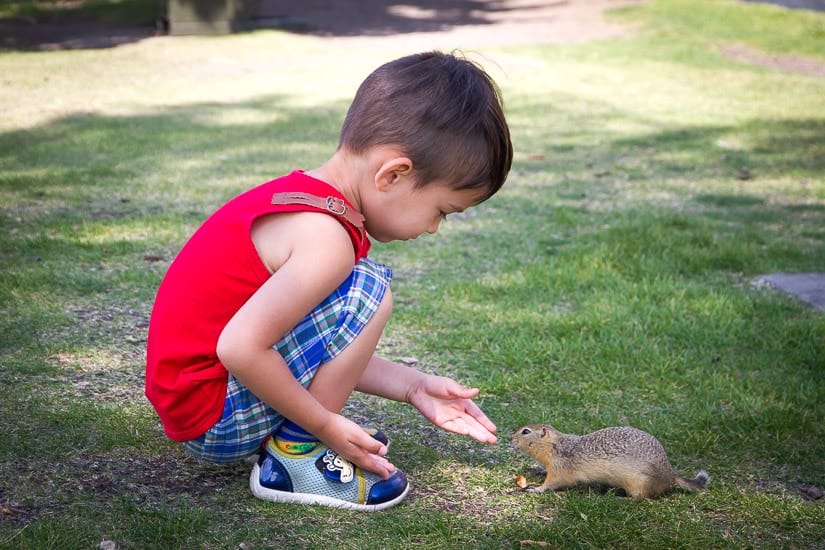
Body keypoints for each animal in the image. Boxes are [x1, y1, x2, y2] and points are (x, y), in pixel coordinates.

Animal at [508, 424, 708, 502]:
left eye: (525, 431)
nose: (511, 438)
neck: (556, 446)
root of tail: (670, 473)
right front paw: (539, 471)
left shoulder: (559, 469)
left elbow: (551, 483)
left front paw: (536, 489)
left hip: (639, 483)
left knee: (641, 498)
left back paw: (620, 498)